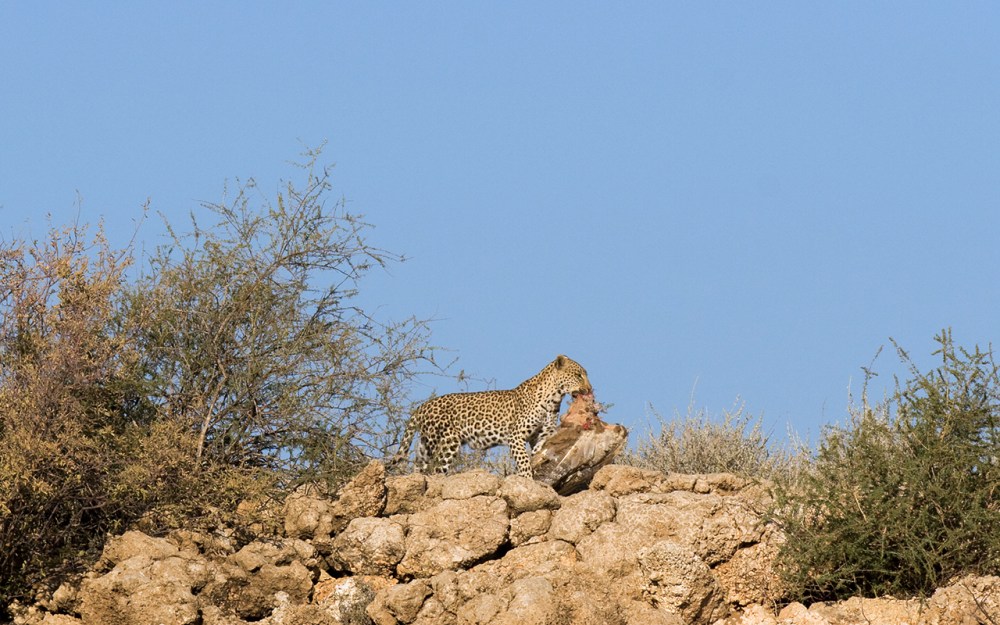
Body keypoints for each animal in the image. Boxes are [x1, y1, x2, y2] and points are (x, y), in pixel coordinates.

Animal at [391, 355, 592, 478]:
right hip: (447, 442)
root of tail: (423, 405)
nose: (590, 389)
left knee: (419, 465)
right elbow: (523, 461)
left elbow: (537, 451)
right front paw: (527, 478)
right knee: (438, 468)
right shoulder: (516, 436)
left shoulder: (540, 435)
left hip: (425, 445)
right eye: (578, 375)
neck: (554, 398)